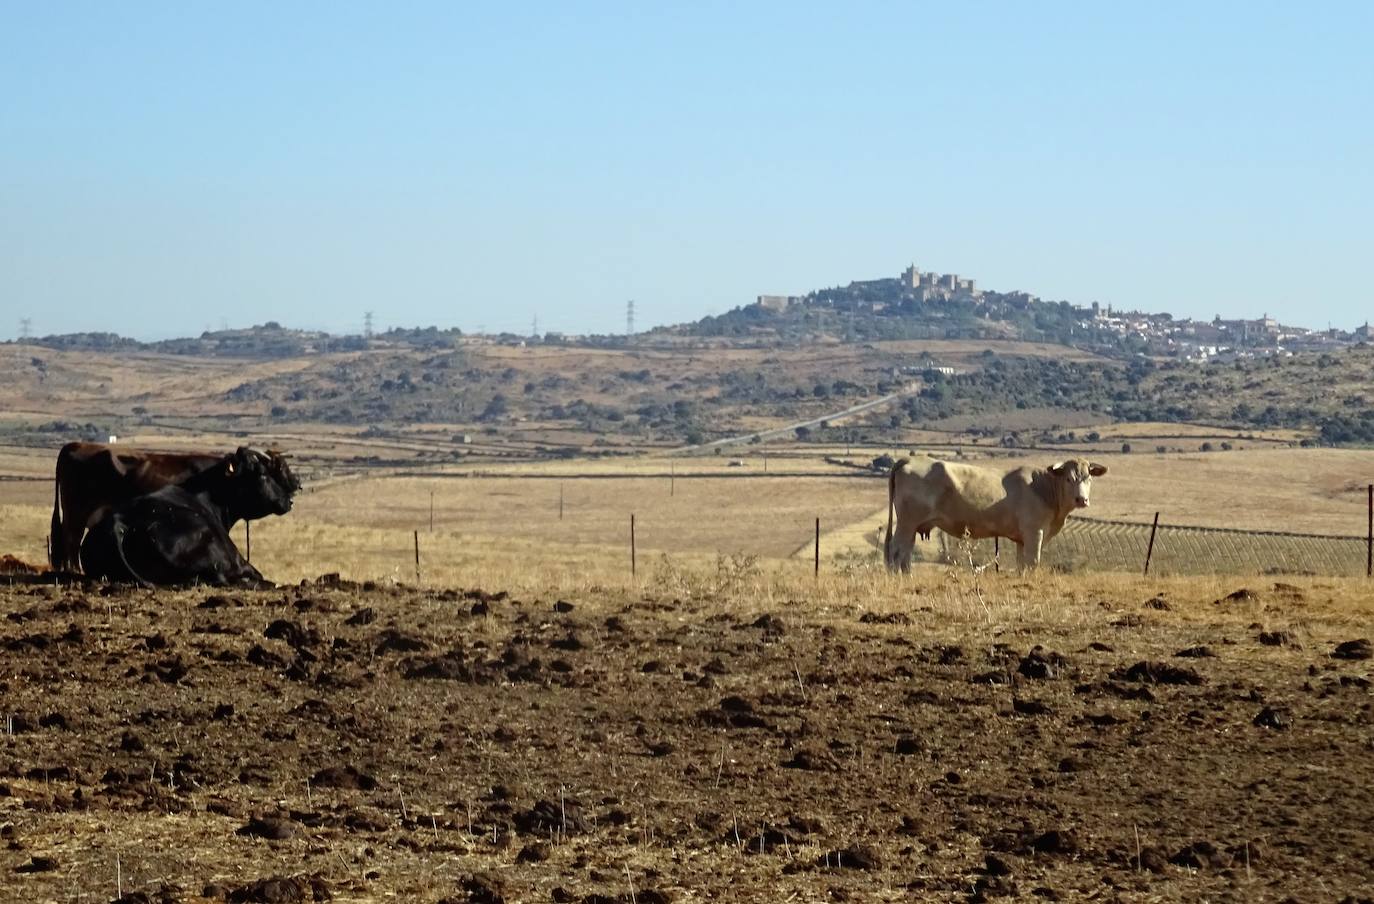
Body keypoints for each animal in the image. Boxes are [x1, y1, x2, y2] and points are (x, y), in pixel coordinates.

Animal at [884, 453, 1110, 574]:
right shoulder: (1034, 532)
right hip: (906, 523)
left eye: (1088, 478)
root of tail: (909, 459)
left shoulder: (1022, 539)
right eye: (1069, 479)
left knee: (905, 553)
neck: (1043, 488)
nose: (1082, 500)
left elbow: (1022, 565)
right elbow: (1033, 562)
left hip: (911, 525)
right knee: (896, 551)